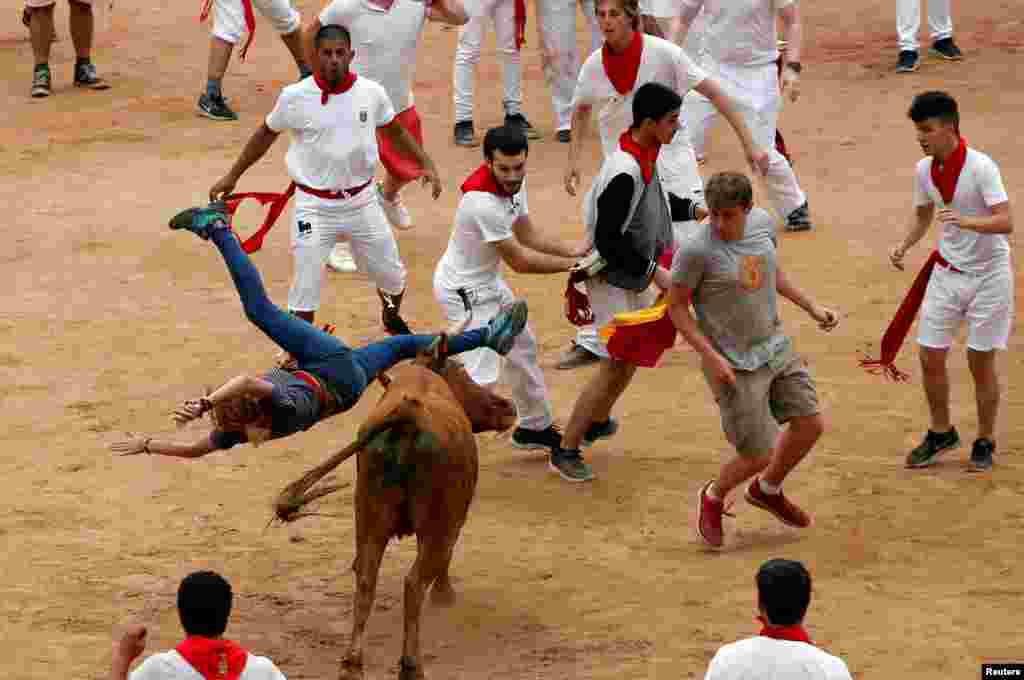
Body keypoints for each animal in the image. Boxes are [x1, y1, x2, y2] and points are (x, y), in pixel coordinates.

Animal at [274, 333, 516, 680]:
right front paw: (445, 595)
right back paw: (412, 665)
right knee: (413, 584)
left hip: (368, 518)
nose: (507, 407)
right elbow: (444, 560)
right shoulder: (453, 519)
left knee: (365, 579)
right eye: (461, 371)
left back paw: (352, 664)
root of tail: (408, 417)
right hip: (435, 526)